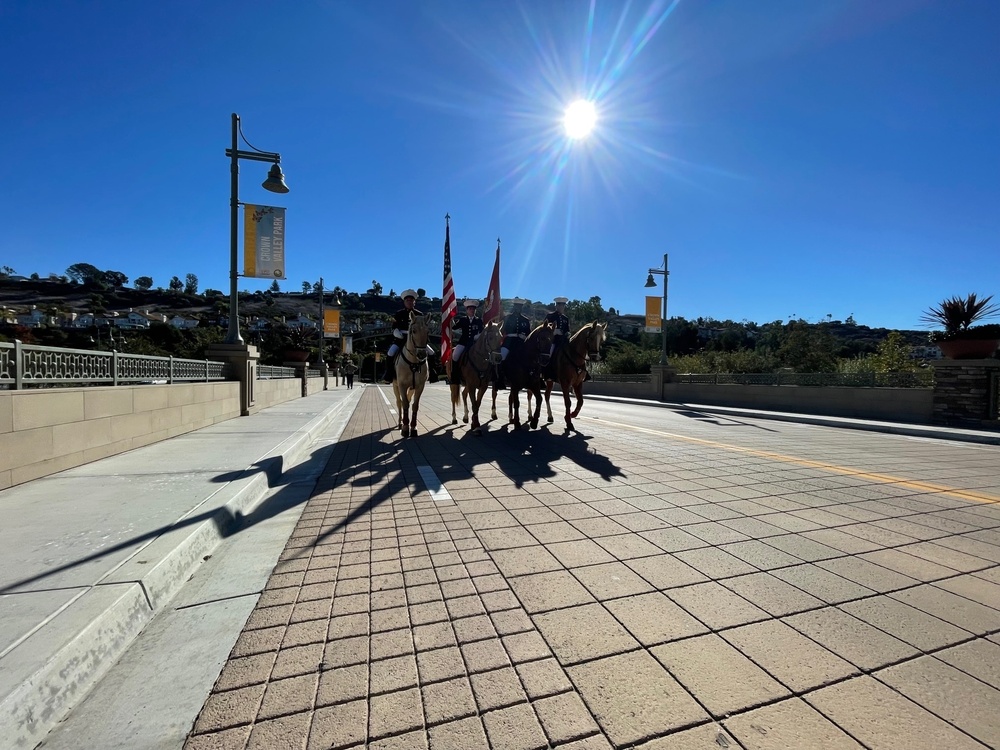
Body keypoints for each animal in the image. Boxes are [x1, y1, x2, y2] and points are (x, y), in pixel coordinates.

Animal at [392, 312, 428, 440]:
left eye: (428, 331)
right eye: (413, 331)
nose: (422, 354)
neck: (414, 362)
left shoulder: (420, 386)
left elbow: (414, 405)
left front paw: (413, 428)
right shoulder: (402, 385)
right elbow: (405, 404)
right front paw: (405, 428)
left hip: (411, 388)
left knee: (407, 399)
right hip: (395, 386)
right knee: (399, 402)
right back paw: (400, 422)